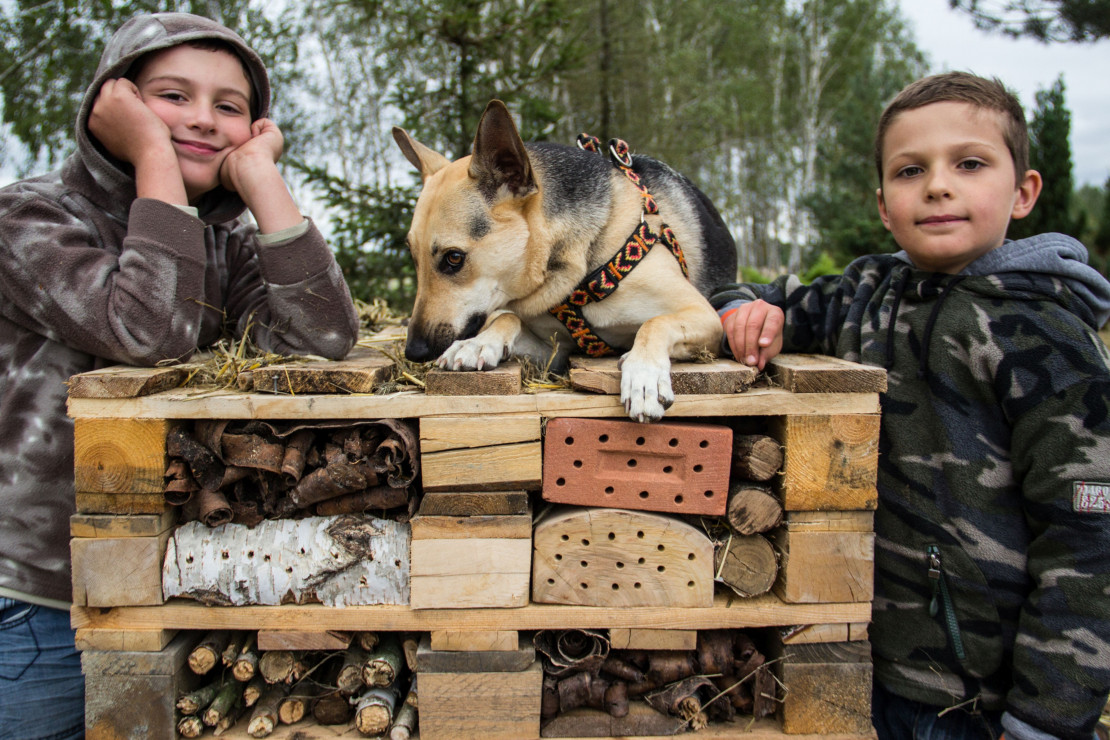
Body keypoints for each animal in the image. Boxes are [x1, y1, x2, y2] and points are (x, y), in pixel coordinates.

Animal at [390, 99, 737, 421]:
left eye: (454, 258)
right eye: (413, 257)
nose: (414, 351)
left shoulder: (705, 317)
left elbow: (656, 323)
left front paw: (643, 375)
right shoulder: (555, 352)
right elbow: (508, 318)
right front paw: (478, 343)